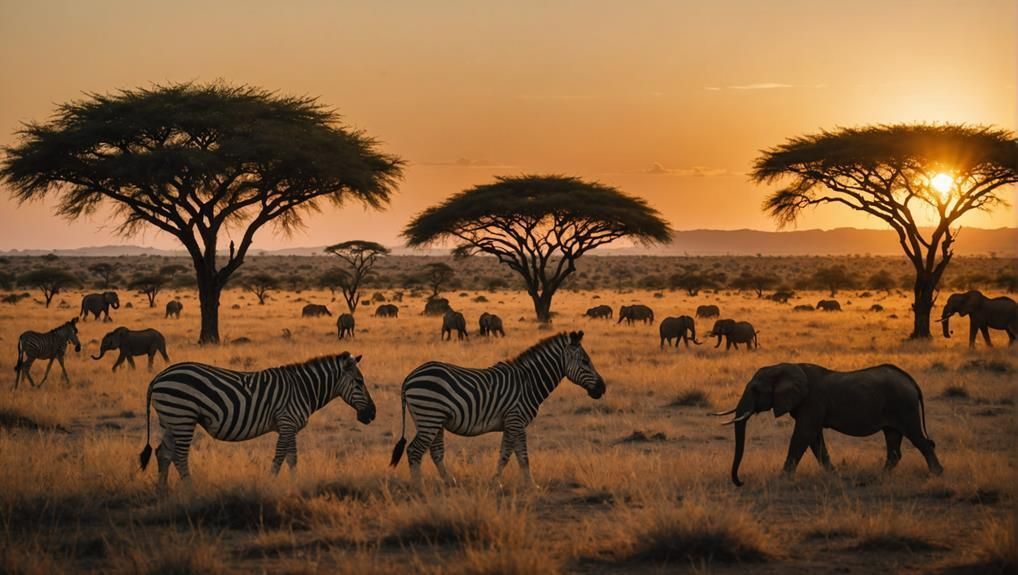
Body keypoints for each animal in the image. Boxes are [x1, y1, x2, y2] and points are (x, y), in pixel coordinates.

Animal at [138, 352, 375, 490]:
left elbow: (292, 458)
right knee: (179, 456)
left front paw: (294, 484)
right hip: (183, 417)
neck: (302, 389)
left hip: (172, 420)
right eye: (359, 382)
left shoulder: (290, 427)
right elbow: (279, 457)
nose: (372, 414)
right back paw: (190, 490)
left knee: (163, 453)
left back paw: (163, 491)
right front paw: (270, 484)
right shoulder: (286, 422)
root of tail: (158, 377)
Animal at [390, 331, 605, 486]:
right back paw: (419, 487)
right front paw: (517, 484)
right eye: (585, 362)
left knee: (435, 451)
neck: (528, 382)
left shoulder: (511, 423)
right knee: (414, 451)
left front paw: (513, 483)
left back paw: (449, 481)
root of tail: (409, 377)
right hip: (430, 416)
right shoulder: (516, 420)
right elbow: (516, 455)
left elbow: (512, 454)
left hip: (433, 420)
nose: (602, 388)